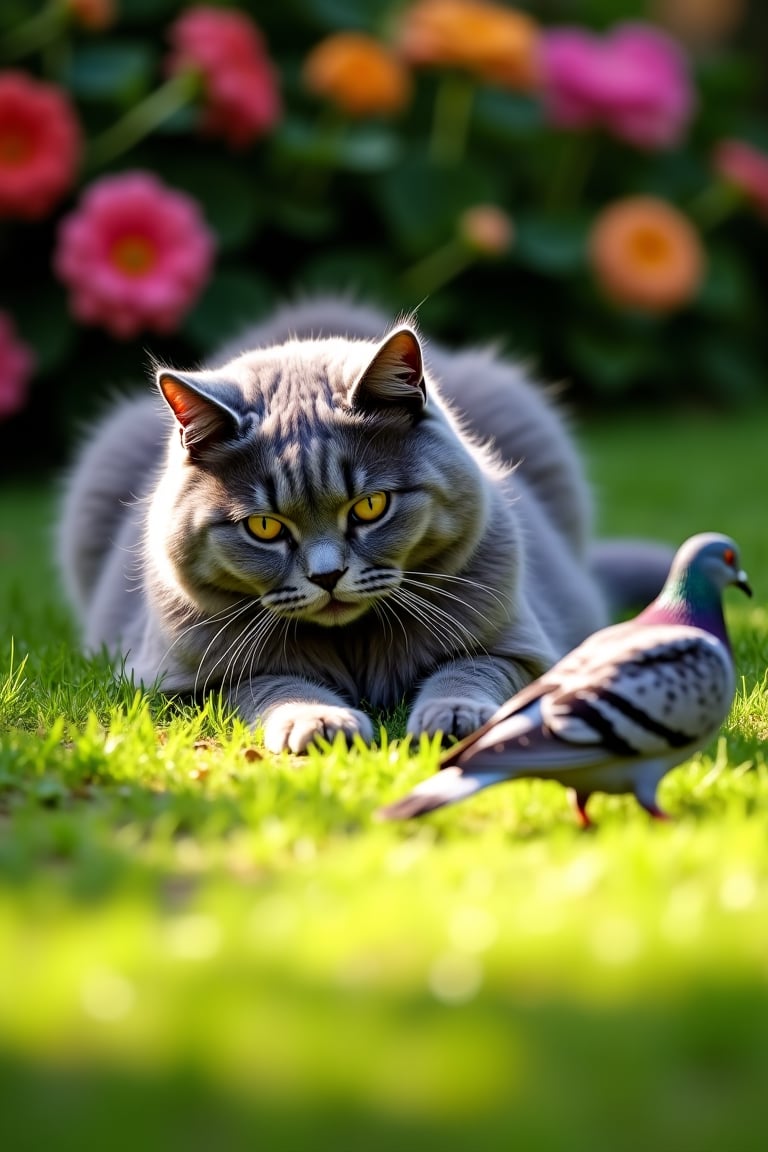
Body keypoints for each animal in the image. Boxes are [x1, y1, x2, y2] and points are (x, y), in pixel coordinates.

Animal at [58, 292, 667, 751]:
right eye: (265, 528)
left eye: (370, 507)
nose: (327, 576)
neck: (352, 640)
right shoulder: (185, 679)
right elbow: (270, 684)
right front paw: (318, 722)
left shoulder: (521, 644)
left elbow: (471, 669)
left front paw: (453, 716)